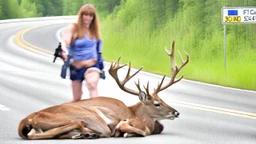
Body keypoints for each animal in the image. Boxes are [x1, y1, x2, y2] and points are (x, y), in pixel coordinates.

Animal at [18, 40, 189, 140]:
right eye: (157, 103)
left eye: (163, 99)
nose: (176, 112)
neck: (132, 112)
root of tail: (26, 120)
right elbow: (140, 130)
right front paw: (124, 130)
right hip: (85, 117)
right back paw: (86, 131)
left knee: (34, 134)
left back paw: (84, 134)